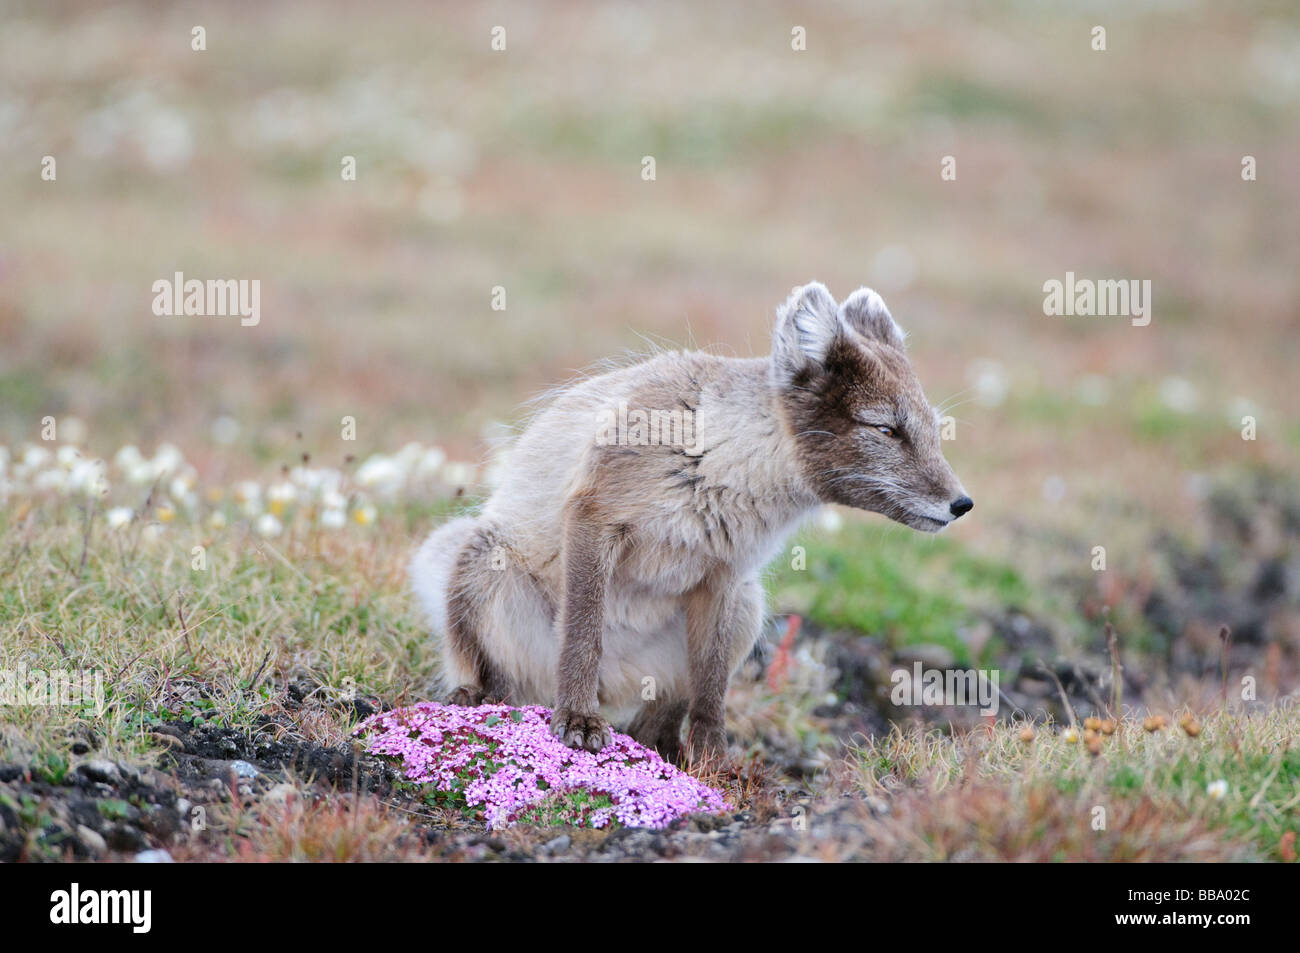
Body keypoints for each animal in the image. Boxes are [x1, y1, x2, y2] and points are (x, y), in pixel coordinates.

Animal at [410, 280, 972, 759]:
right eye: (886, 429)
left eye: (932, 429)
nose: (962, 504)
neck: (723, 463)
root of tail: (617, 684)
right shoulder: (594, 516)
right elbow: (582, 636)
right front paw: (577, 719)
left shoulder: (725, 572)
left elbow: (711, 685)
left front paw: (713, 759)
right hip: (480, 557)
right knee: (497, 678)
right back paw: (479, 699)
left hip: (748, 603)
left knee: (662, 709)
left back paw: (664, 747)